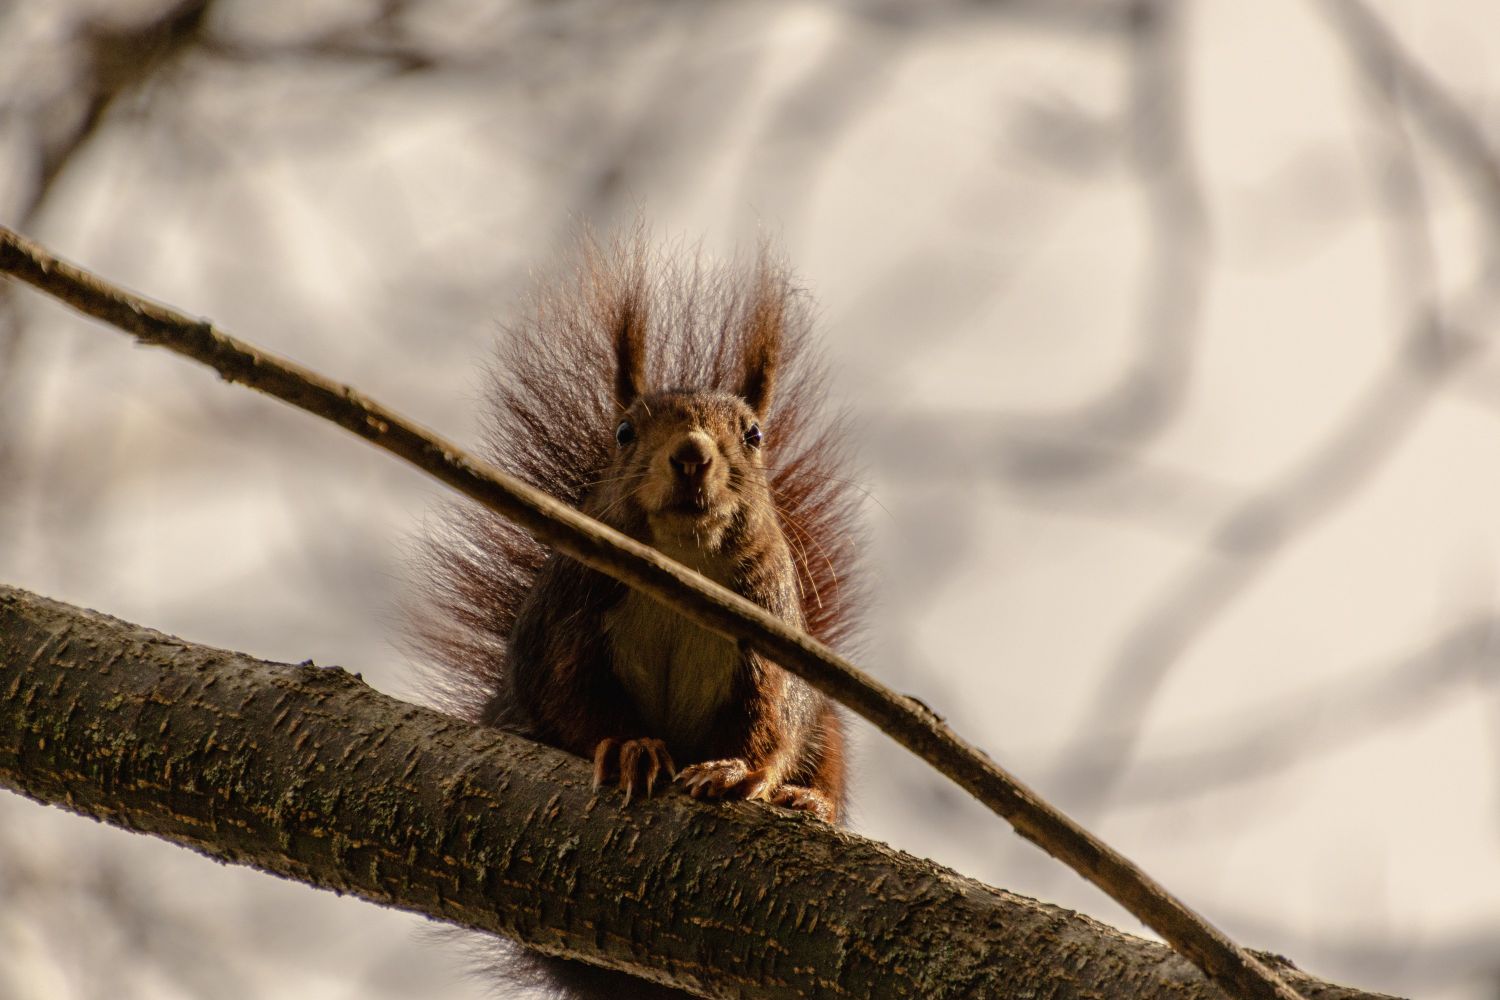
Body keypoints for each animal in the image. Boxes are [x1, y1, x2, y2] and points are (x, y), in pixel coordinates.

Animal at [411, 236, 864, 1000]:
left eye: (754, 434)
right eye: (623, 432)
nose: (692, 456)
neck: (680, 564)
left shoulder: (769, 633)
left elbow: (773, 715)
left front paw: (738, 770)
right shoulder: (571, 618)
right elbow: (568, 695)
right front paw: (628, 746)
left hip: (830, 737)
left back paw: (809, 803)